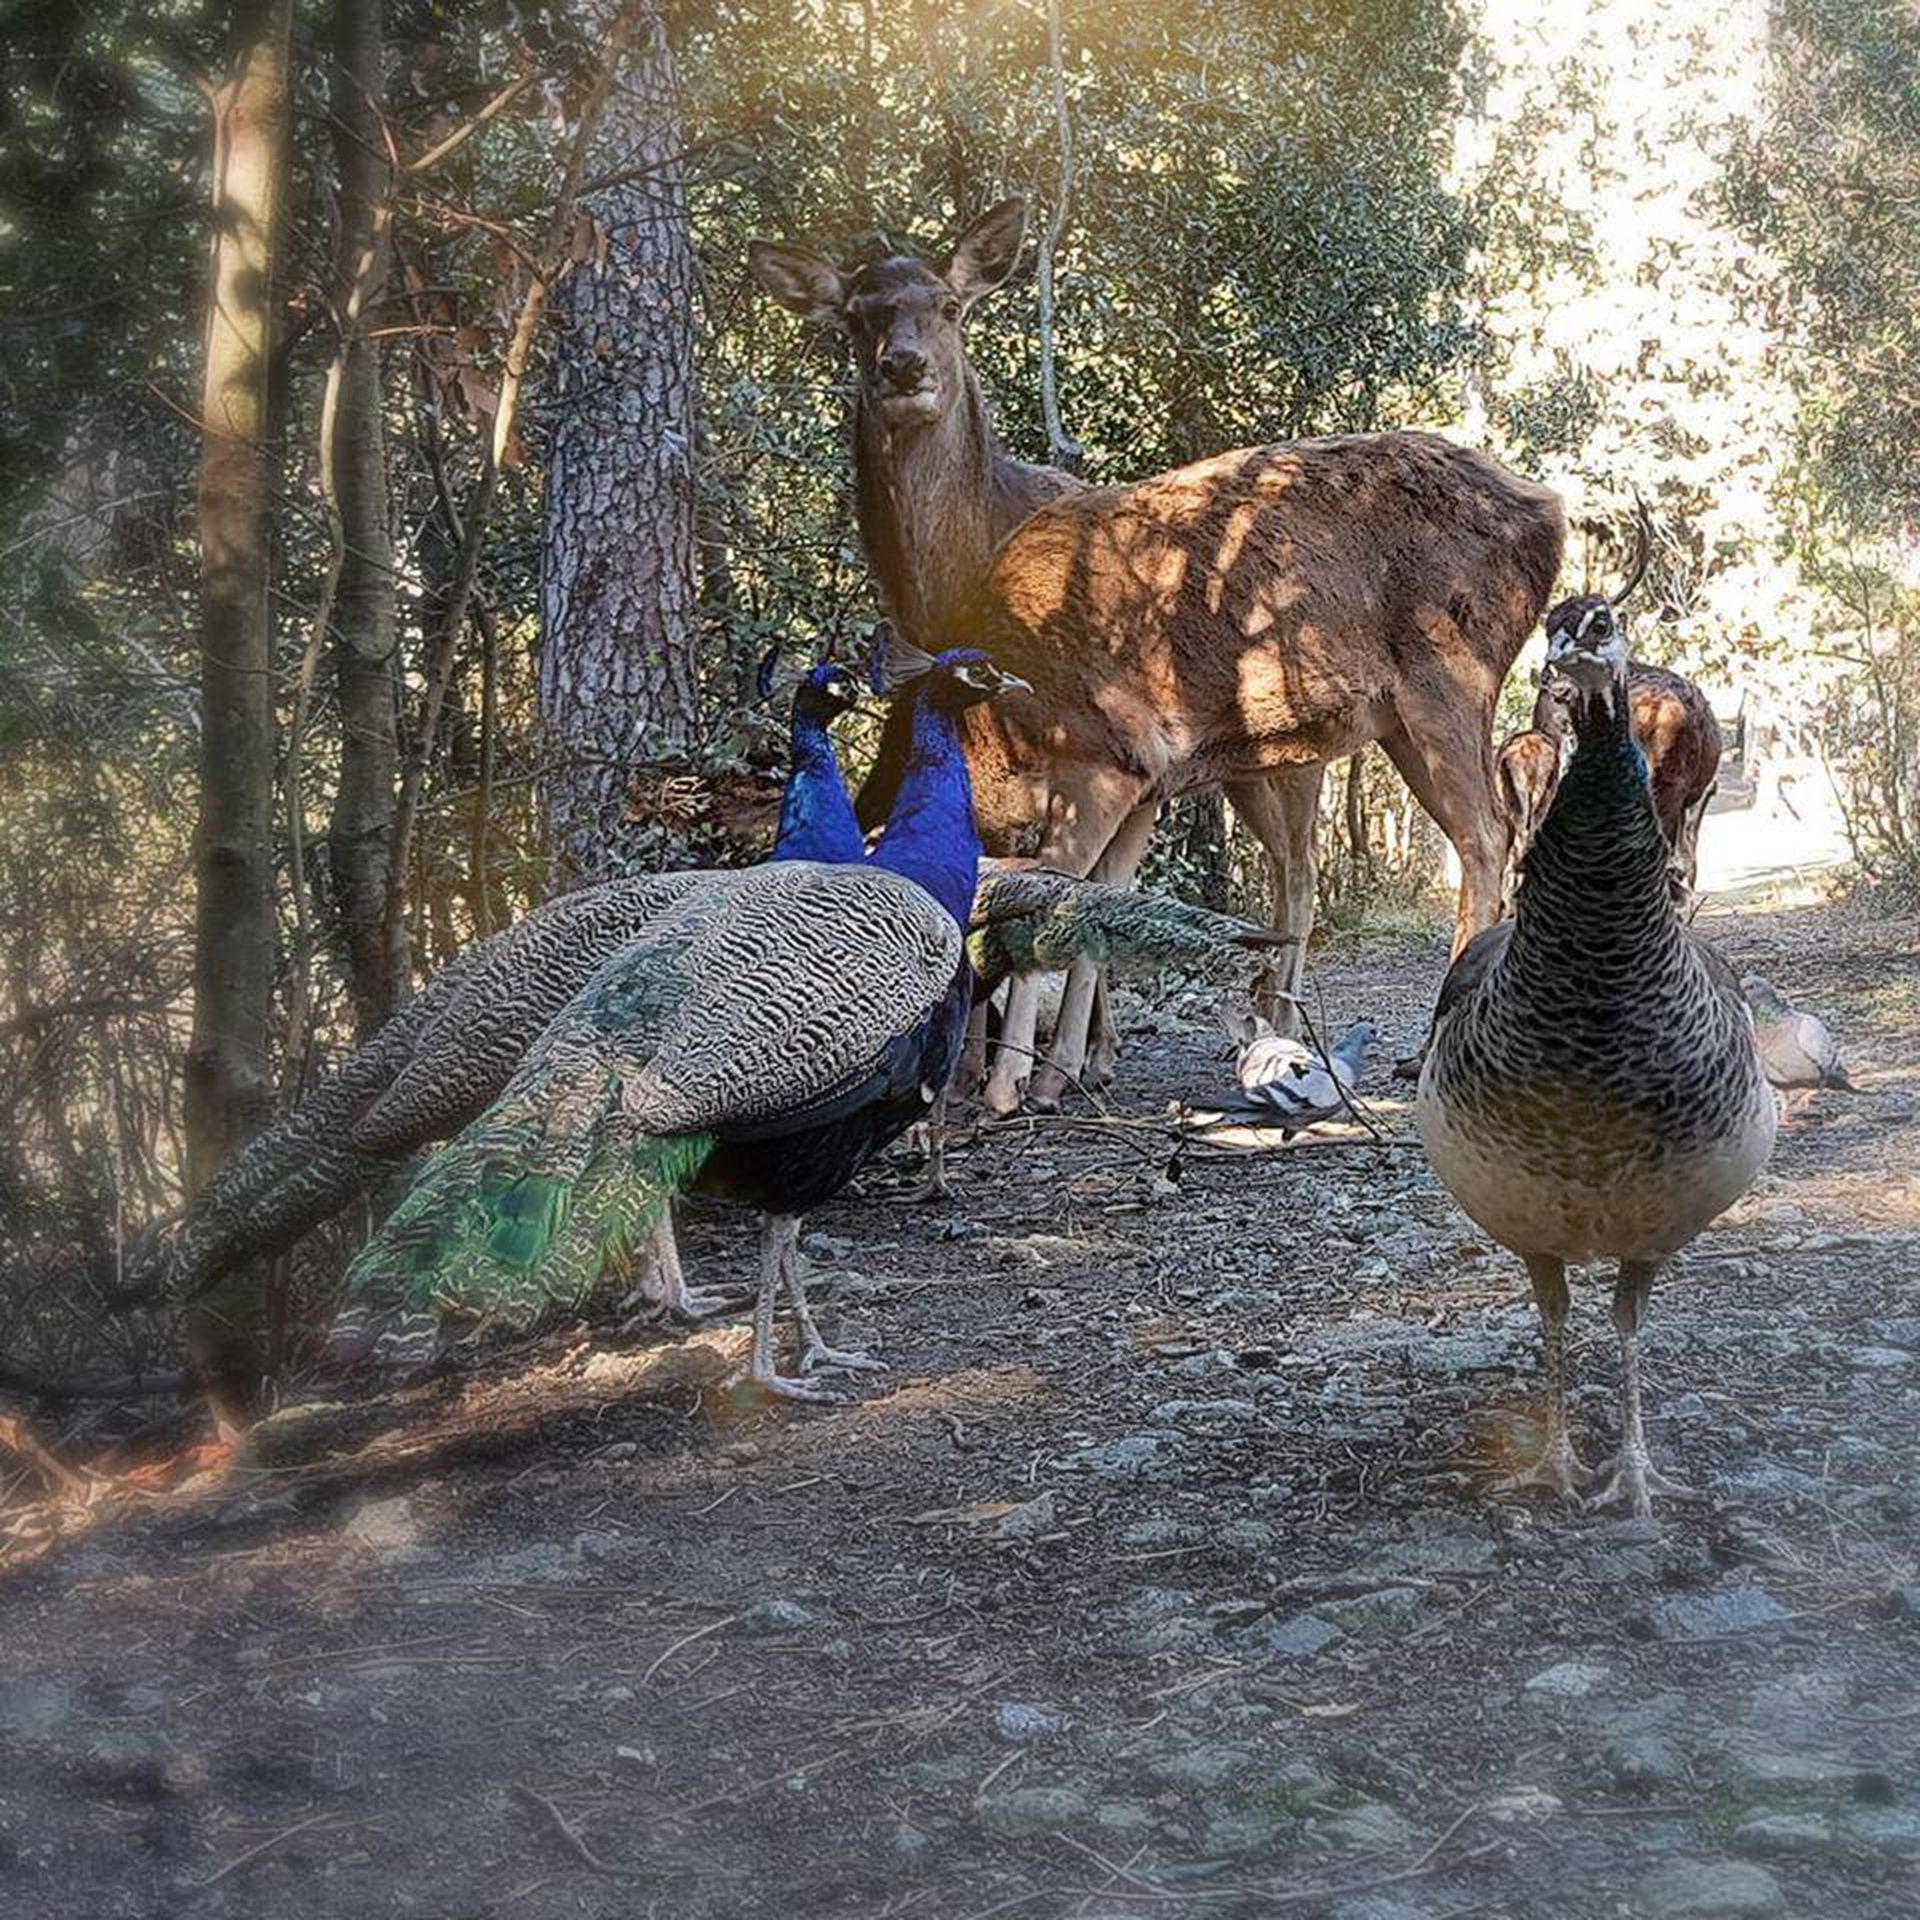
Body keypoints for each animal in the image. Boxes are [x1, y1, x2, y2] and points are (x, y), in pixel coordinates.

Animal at [741, 198, 1566, 1113]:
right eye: (857, 317)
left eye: (951, 307)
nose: (903, 365)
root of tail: (1551, 512)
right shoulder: (1143, 776)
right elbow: (1097, 892)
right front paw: (1042, 1064)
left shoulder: (1116, 760)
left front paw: (1024, 1073)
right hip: (1353, 729)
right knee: (1328, 868)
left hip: (1446, 675)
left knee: (1474, 838)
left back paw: (1420, 1047)